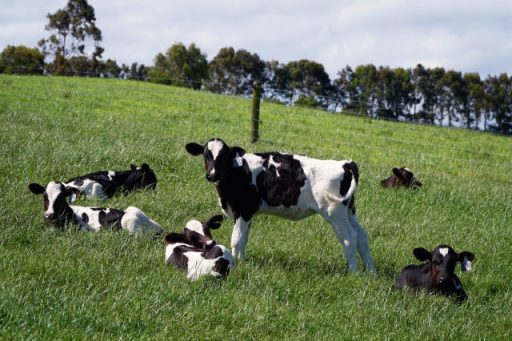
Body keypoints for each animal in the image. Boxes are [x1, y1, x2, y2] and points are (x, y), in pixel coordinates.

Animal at [185, 137, 376, 272]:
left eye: (224, 156)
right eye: (205, 155)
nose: (212, 174)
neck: (238, 172)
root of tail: (345, 163)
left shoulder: (243, 211)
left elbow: (236, 240)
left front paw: (235, 263)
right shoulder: (247, 213)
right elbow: (244, 240)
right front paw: (242, 261)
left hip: (335, 213)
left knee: (349, 239)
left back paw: (353, 272)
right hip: (349, 211)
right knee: (362, 237)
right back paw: (371, 272)